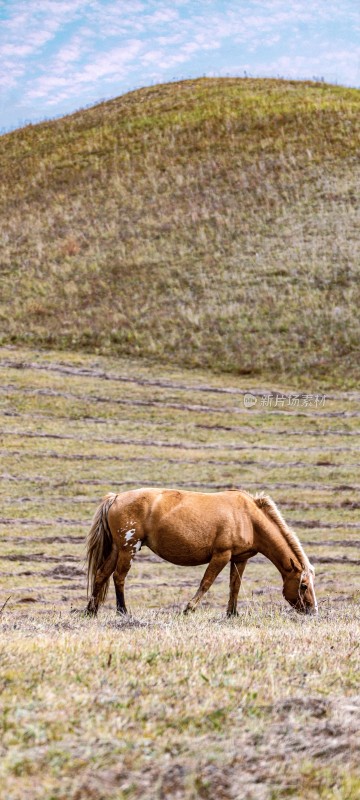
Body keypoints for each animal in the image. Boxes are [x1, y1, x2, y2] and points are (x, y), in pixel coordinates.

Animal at [85, 484, 318, 616]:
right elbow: (206, 582)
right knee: (119, 577)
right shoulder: (221, 555)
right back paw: (122, 612)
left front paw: (232, 614)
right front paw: (189, 608)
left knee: (102, 574)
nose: (313, 611)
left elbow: (235, 586)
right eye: (304, 585)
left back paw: (91, 611)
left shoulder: (239, 558)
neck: (249, 517)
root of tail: (115, 497)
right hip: (129, 548)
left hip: (117, 548)